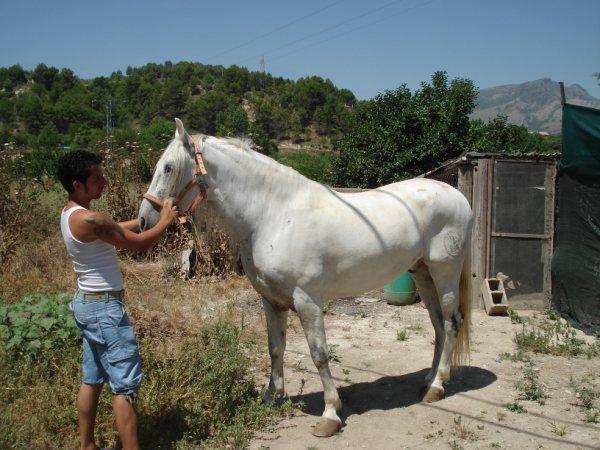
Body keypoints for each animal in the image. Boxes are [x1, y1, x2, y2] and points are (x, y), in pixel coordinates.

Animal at [139, 118, 474, 436]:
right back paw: (430, 380)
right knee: (438, 326)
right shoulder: (270, 300)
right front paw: (271, 398)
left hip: (444, 272)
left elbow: (319, 354)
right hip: (422, 274)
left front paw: (330, 415)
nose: (144, 220)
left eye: (168, 168)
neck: (274, 215)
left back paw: (436, 387)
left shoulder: (307, 300)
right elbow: (275, 347)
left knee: (450, 323)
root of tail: (458, 196)